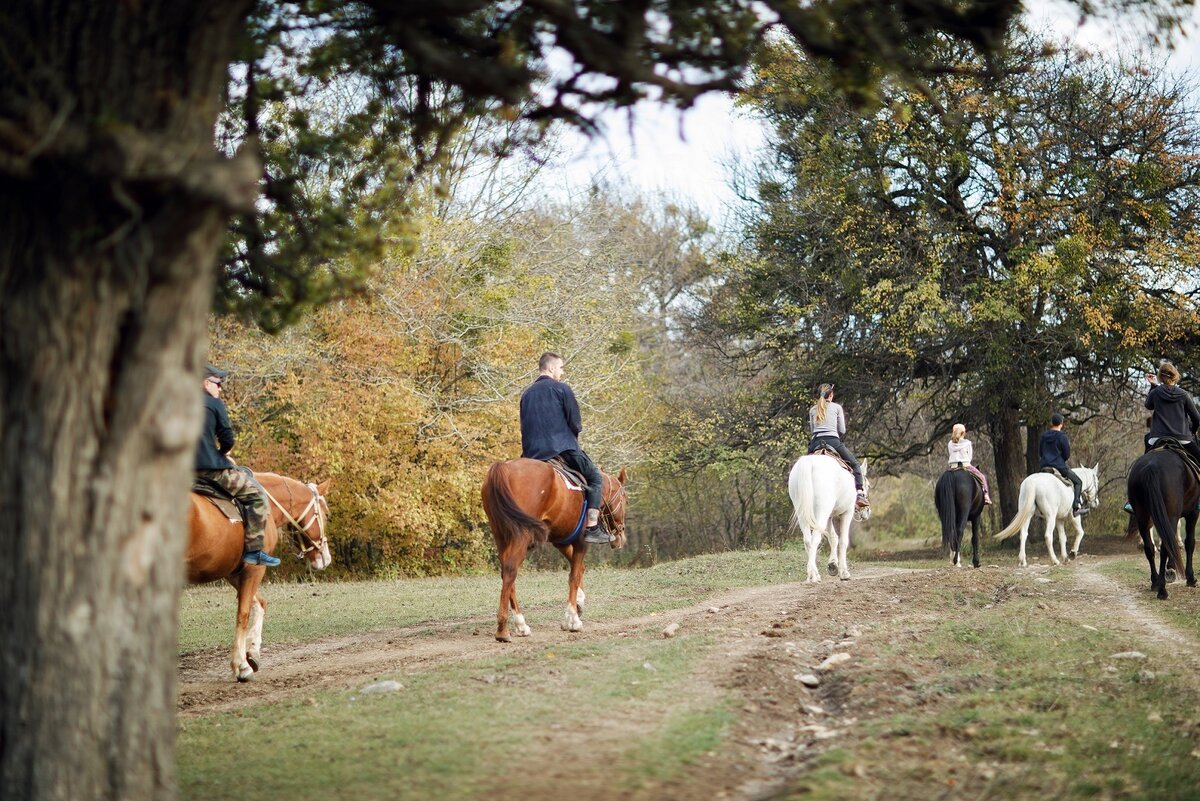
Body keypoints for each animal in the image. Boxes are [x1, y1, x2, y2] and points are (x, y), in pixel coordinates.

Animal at [184, 472, 333, 681]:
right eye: (326, 515)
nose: (325, 558)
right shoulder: (255, 567)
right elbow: (243, 613)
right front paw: (241, 665)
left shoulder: (234, 572)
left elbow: (259, 603)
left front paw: (252, 652)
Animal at [480, 460, 628, 642]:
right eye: (625, 499)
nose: (621, 536)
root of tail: (503, 467)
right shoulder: (581, 542)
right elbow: (574, 575)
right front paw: (572, 619)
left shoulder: (561, 541)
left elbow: (579, 568)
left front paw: (579, 602)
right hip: (520, 536)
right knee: (510, 571)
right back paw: (503, 630)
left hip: (501, 536)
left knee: (506, 574)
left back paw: (521, 624)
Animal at [787, 450, 873, 582]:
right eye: (867, 485)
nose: (867, 512)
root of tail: (809, 463)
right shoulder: (846, 513)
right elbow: (843, 540)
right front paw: (843, 572)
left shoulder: (829, 516)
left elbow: (833, 538)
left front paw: (833, 565)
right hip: (822, 512)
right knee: (815, 538)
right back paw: (813, 575)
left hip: (803, 513)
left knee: (808, 540)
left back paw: (814, 573)